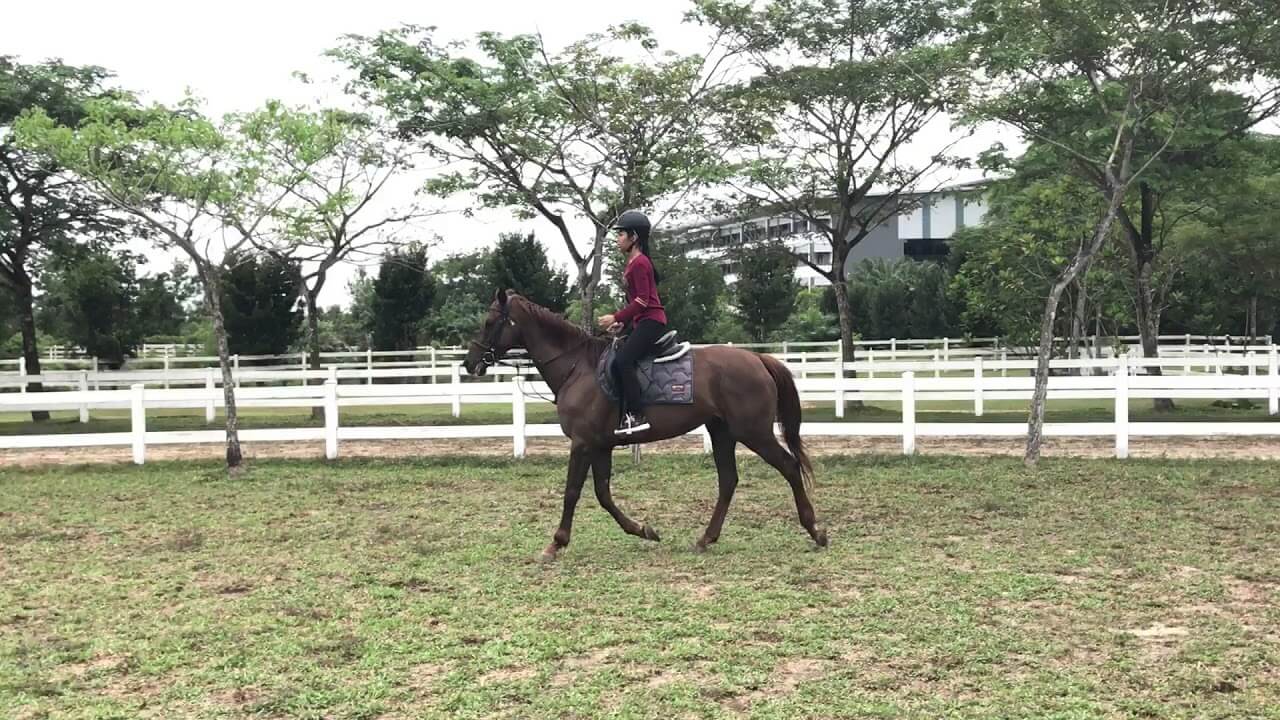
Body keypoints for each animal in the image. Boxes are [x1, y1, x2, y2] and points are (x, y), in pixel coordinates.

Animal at [462, 289, 828, 562]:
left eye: (489, 321)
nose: (469, 363)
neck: (577, 367)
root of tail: (758, 359)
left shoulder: (582, 443)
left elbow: (572, 492)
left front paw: (556, 543)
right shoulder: (601, 445)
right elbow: (603, 494)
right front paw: (644, 531)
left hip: (754, 432)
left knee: (789, 466)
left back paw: (815, 530)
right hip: (722, 431)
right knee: (728, 481)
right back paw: (706, 539)